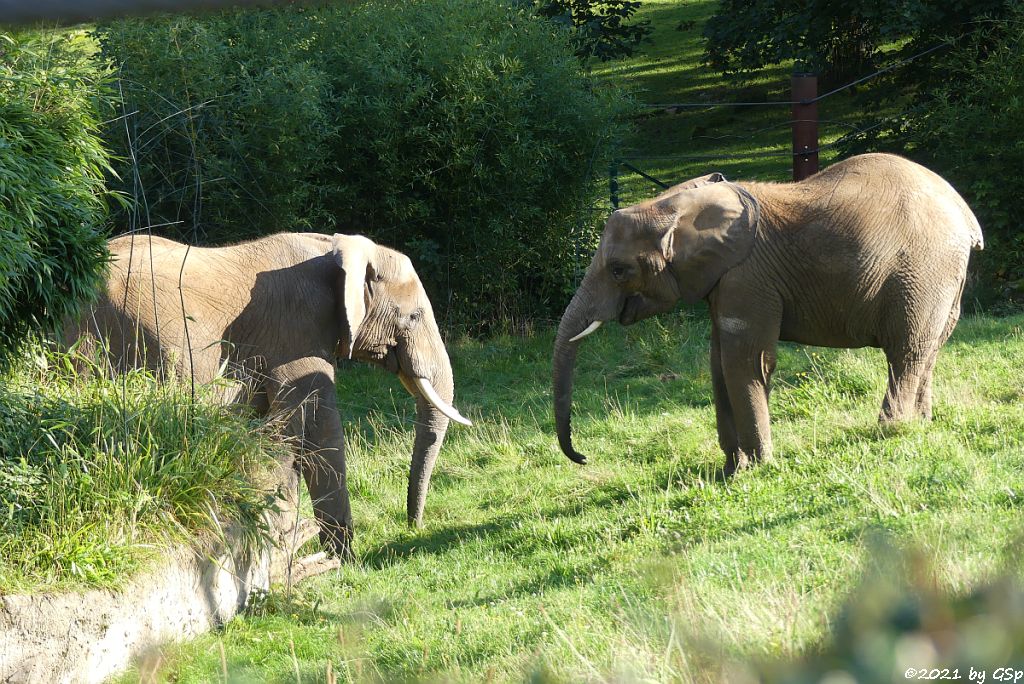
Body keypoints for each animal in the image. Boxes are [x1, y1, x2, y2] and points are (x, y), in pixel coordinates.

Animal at [66, 232, 473, 557]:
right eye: (414, 317)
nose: (413, 527)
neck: (336, 248)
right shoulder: (297, 333)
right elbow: (318, 428)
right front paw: (341, 561)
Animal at [552, 153, 983, 475]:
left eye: (618, 270)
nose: (583, 457)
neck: (677, 204)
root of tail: (965, 215)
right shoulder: (724, 282)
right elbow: (718, 363)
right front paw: (731, 471)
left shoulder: (748, 277)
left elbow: (746, 361)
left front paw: (757, 468)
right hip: (943, 280)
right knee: (929, 349)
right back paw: (920, 424)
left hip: (923, 272)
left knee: (906, 351)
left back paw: (889, 431)